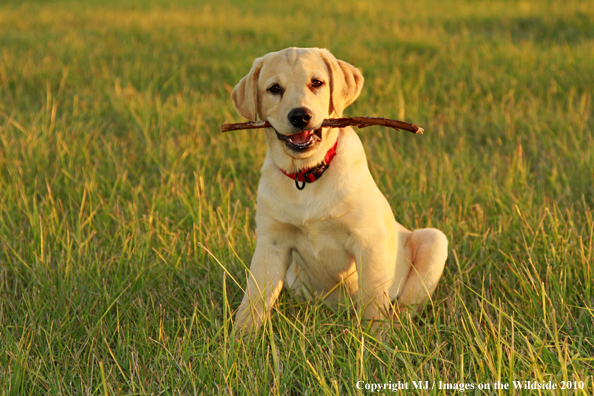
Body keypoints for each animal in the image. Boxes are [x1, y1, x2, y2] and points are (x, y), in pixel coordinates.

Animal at [229, 46, 446, 332]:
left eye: (316, 83)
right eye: (274, 88)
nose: (300, 116)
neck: (308, 176)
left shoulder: (368, 240)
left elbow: (372, 301)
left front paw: (375, 340)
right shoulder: (271, 242)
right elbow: (253, 300)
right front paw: (239, 339)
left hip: (434, 240)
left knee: (403, 308)